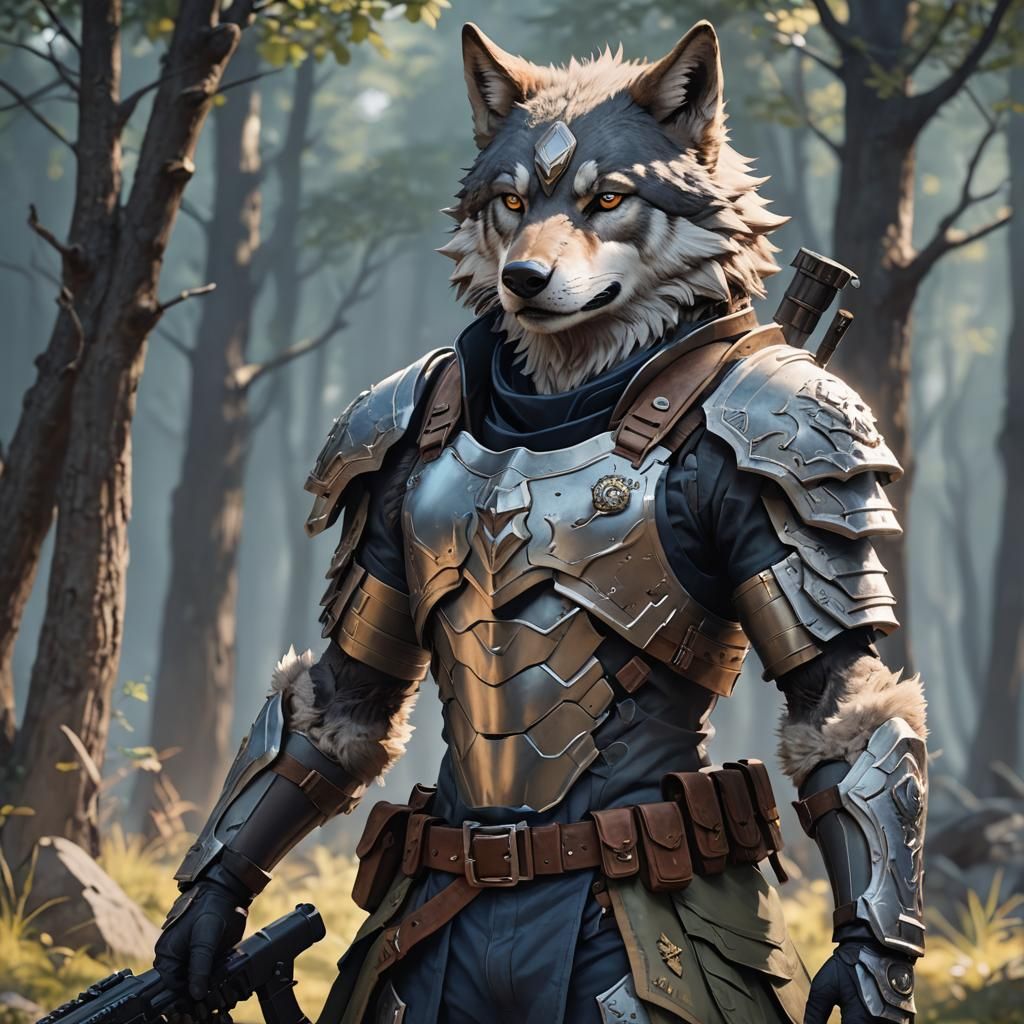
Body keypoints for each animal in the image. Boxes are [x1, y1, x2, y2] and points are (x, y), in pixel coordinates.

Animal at [155, 20, 928, 1024]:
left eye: (608, 198)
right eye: (512, 202)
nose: (523, 277)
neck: (564, 393)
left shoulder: (794, 442)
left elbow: (839, 701)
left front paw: (866, 970)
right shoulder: (381, 438)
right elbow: (340, 697)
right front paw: (205, 921)